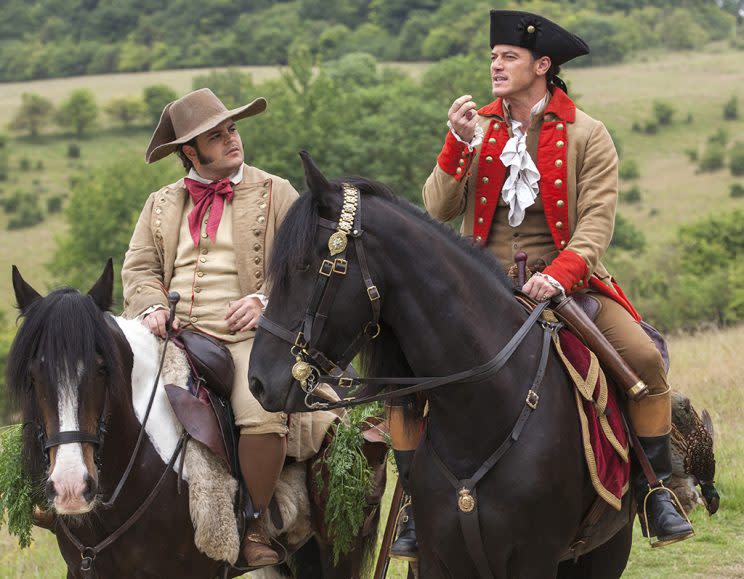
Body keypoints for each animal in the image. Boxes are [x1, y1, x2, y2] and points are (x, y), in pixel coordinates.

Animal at [248, 154, 632, 579]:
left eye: (306, 266)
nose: (258, 381)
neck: (482, 411)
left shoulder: (535, 559)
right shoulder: (438, 558)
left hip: (604, 551)